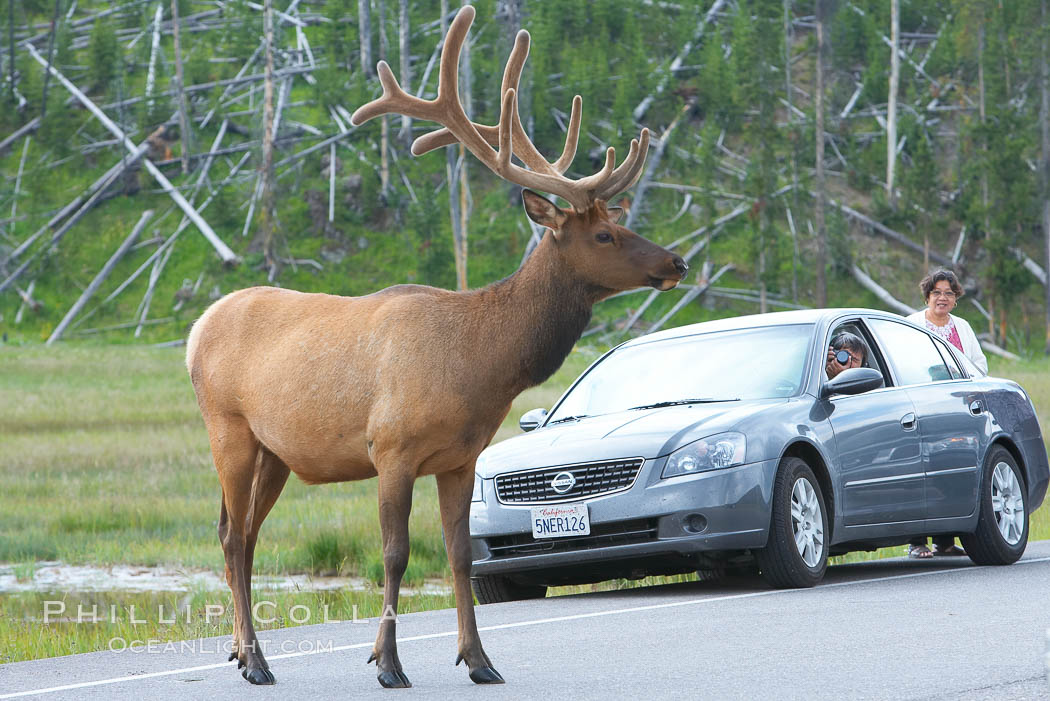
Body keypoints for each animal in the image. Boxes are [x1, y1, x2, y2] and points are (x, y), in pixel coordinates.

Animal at [184, 5, 684, 688]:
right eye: (605, 234)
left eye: (622, 221)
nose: (676, 262)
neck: (482, 362)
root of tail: (195, 330)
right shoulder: (391, 447)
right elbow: (395, 555)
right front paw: (387, 663)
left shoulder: (460, 458)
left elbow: (459, 555)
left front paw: (479, 660)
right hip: (228, 429)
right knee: (234, 537)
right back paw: (256, 662)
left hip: (275, 451)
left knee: (238, 532)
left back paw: (240, 651)